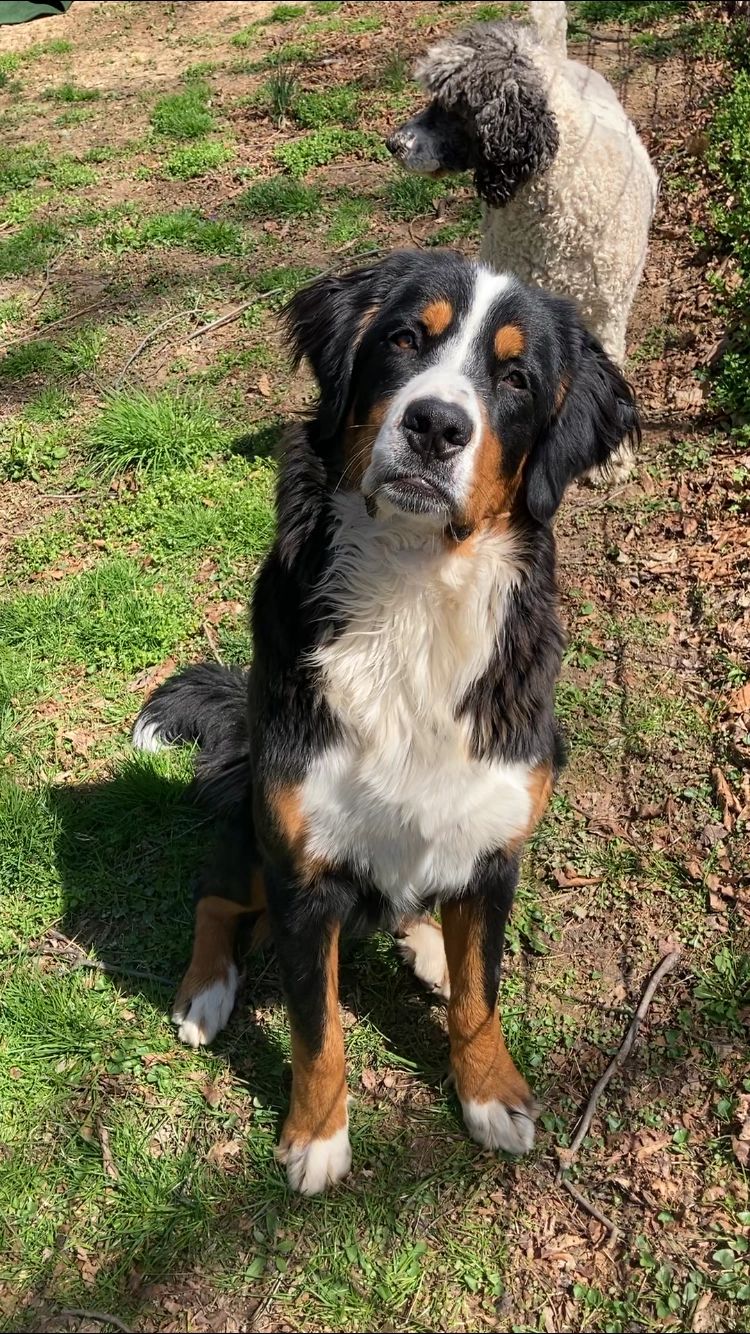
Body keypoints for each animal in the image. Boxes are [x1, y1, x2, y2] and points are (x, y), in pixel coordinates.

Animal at [132, 250, 635, 1200]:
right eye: (404, 339)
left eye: (516, 378)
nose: (437, 425)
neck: (415, 596)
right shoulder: (301, 868)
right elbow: (318, 1028)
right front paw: (316, 1138)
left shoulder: (495, 845)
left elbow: (482, 995)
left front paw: (490, 1093)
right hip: (254, 826)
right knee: (217, 897)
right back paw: (206, 992)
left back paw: (427, 944)